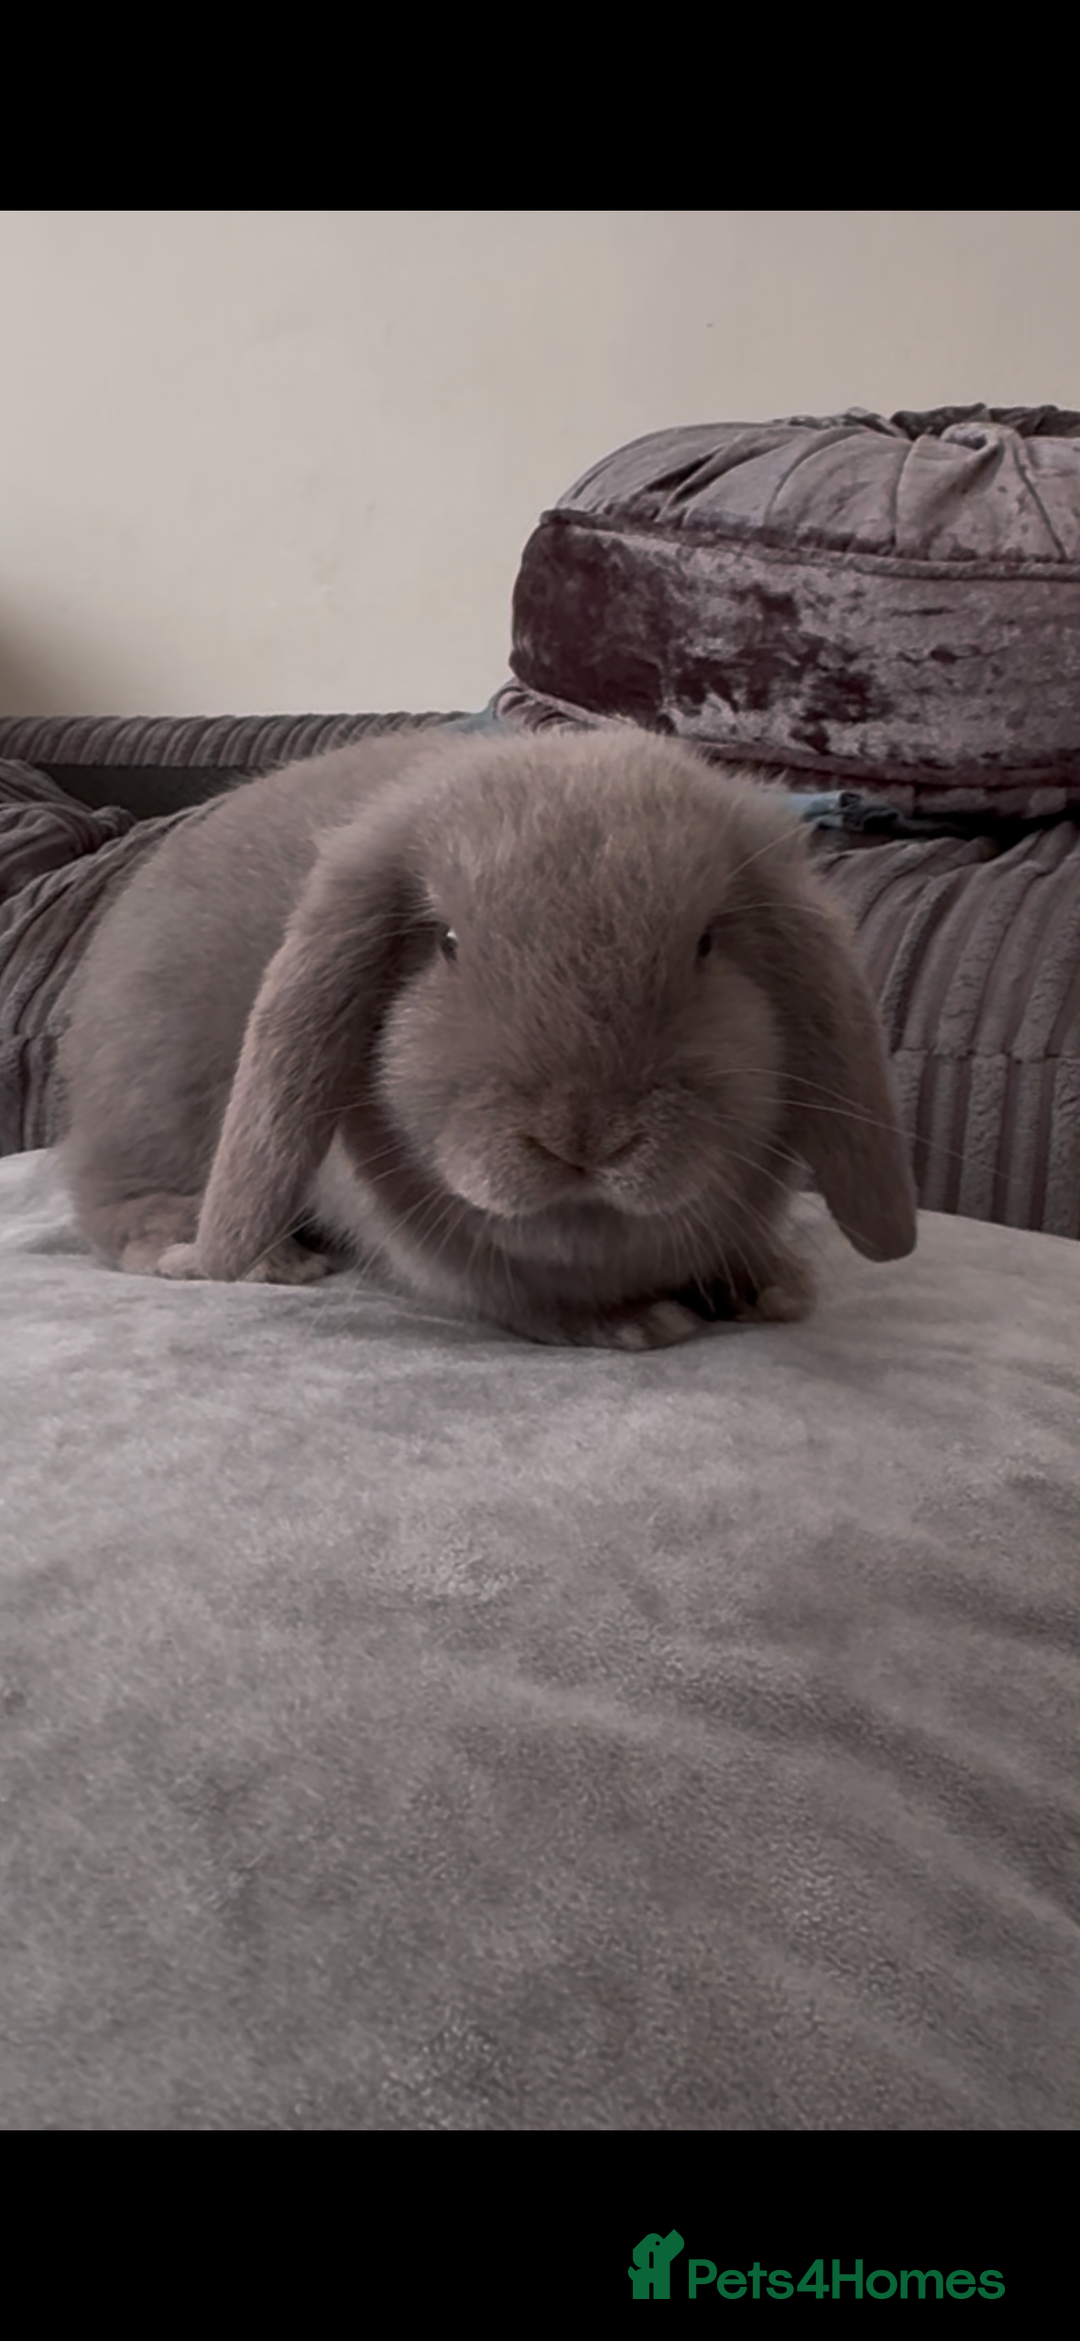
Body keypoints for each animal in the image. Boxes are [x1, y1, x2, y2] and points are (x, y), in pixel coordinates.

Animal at [57, 728, 917, 1349]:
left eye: (706, 943)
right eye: (447, 942)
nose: (585, 1136)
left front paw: (774, 1285)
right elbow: (528, 1301)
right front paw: (636, 1322)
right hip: (151, 1105)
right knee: (110, 1201)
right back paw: (251, 1255)